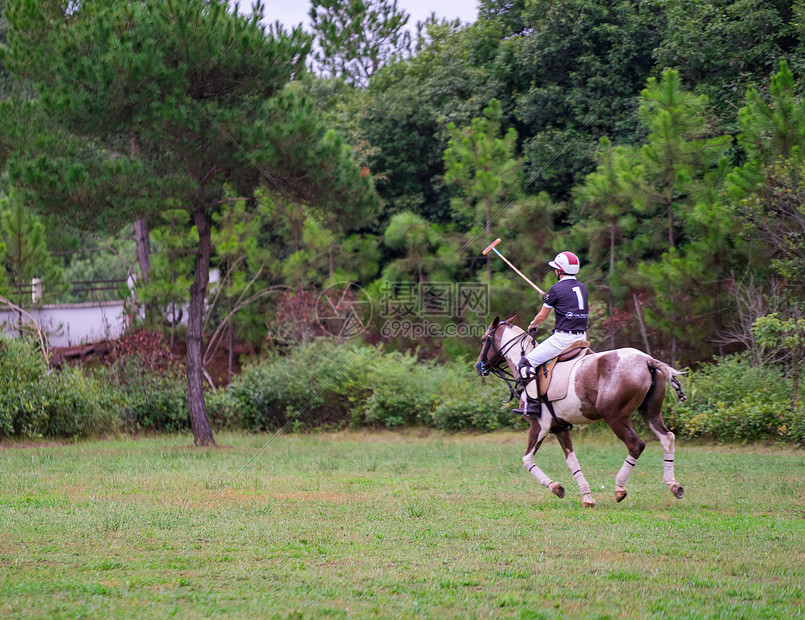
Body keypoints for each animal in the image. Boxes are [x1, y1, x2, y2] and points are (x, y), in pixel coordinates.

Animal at [478, 318, 684, 506]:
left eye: (484, 339)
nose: (479, 366)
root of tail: (647, 360)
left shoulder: (539, 425)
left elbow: (527, 459)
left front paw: (556, 488)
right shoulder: (560, 428)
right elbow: (572, 462)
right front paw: (587, 497)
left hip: (615, 416)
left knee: (636, 444)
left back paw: (619, 488)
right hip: (650, 412)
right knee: (667, 437)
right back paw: (674, 485)